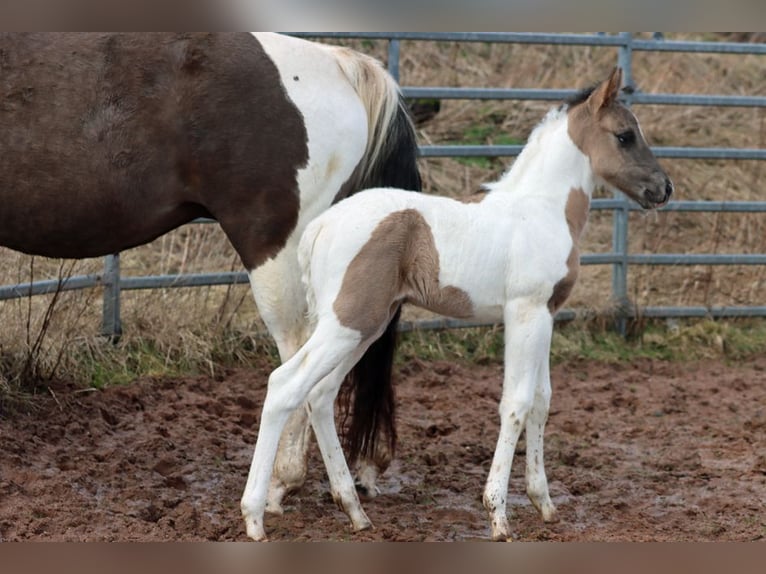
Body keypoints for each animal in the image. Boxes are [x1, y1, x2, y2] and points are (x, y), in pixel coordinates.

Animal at [243, 68, 676, 544]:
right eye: (624, 136)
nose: (663, 189)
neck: (541, 208)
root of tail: (320, 226)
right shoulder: (525, 312)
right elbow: (516, 403)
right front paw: (499, 515)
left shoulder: (546, 315)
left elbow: (542, 400)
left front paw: (544, 504)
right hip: (347, 324)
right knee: (285, 385)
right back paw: (255, 517)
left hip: (364, 326)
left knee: (320, 394)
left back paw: (355, 511)